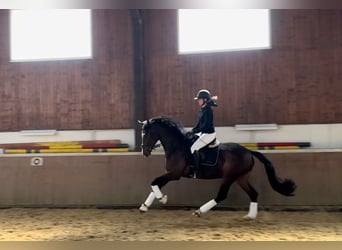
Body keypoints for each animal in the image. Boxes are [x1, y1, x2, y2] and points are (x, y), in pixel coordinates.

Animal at [138, 116, 296, 218]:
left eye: (148, 133)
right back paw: (250, 216)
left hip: (229, 176)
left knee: (222, 195)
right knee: (253, 194)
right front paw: (144, 206)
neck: (177, 146)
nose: (144, 152)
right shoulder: (170, 173)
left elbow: (154, 182)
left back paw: (199, 211)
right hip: (240, 177)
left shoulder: (174, 174)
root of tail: (248, 151)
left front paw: (162, 199)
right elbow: (155, 185)